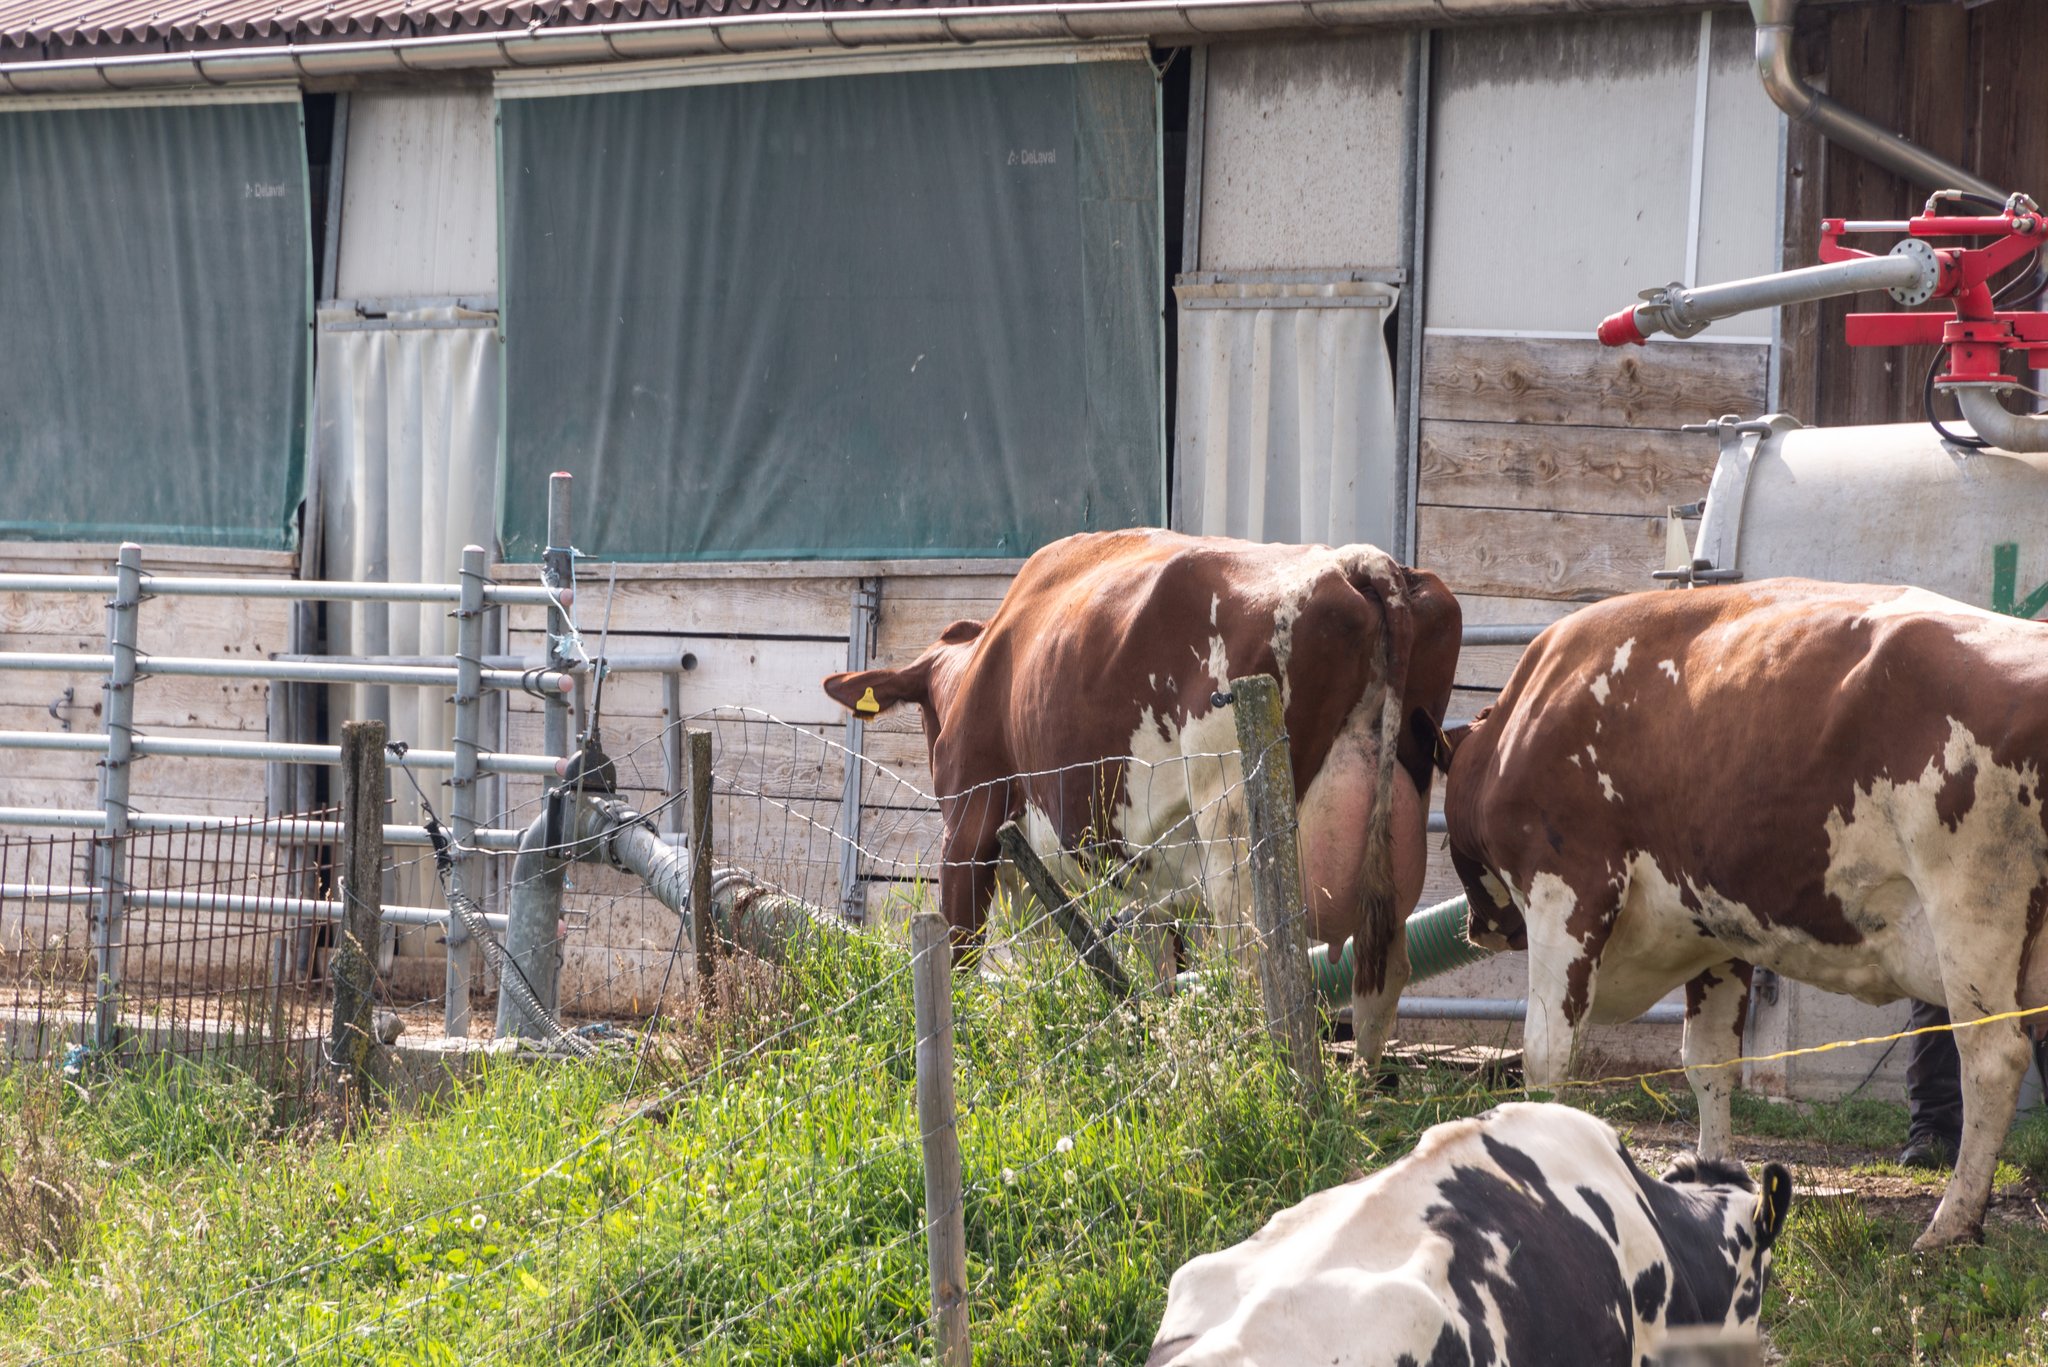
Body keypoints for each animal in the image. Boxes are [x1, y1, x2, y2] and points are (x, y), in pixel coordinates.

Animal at [822, 529, 1461, 1064]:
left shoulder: (971, 830)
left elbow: (960, 958)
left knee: (1261, 970)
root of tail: (1359, 561)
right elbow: (1131, 973)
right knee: (1382, 971)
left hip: (1236, 835)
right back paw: (1357, 1087)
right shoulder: (1126, 876)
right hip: (1392, 815)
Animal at [1443, 579, 2048, 1249]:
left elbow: (1548, 1052)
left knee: (1992, 1060)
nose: (1477, 928)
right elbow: (1708, 1062)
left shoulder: (1566, 891)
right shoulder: (1717, 931)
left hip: (1973, 914)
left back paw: (1951, 1225)